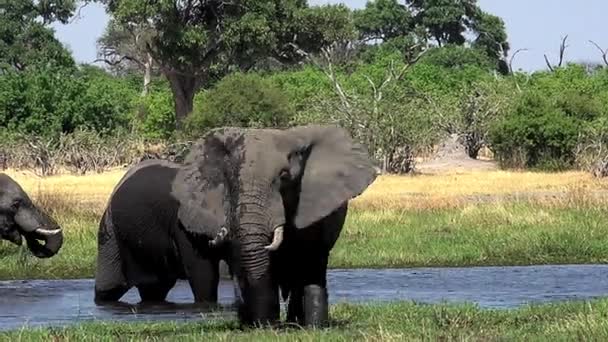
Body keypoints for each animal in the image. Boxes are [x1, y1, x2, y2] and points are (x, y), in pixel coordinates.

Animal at [171, 124, 378, 328]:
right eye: (231, 179)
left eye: (284, 176)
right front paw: (264, 326)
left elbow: (310, 261)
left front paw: (313, 327)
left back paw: (297, 324)